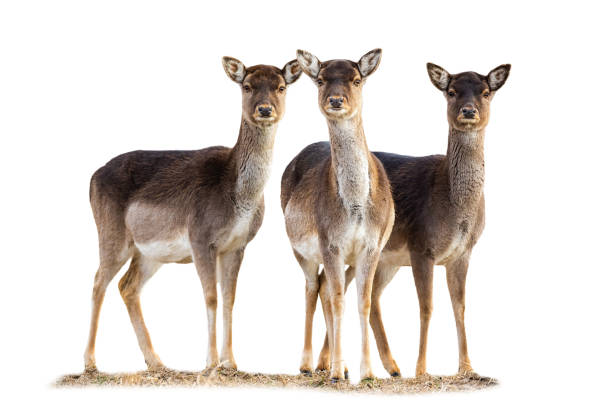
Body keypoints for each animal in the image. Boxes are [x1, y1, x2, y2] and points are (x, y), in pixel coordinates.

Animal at [82, 55, 302, 372]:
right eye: (247, 86)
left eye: (281, 87)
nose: (264, 109)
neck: (239, 197)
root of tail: (92, 177)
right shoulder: (201, 237)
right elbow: (210, 297)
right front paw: (210, 362)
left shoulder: (237, 245)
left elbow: (229, 298)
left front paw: (231, 362)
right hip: (112, 235)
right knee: (98, 282)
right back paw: (90, 362)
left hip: (148, 253)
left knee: (127, 286)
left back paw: (157, 362)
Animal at [280, 49, 394, 380]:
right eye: (320, 79)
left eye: (356, 79)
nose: (335, 100)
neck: (354, 207)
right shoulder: (330, 243)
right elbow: (339, 301)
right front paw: (336, 371)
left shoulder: (370, 247)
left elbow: (362, 302)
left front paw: (366, 372)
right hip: (299, 248)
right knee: (312, 288)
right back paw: (308, 365)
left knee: (324, 289)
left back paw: (331, 365)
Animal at [318, 64, 510, 380]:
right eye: (451, 91)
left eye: (485, 92)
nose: (469, 111)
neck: (456, 210)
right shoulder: (422, 245)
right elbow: (427, 306)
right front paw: (421, 369)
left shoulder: (463, 252)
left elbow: (460, 306)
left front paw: (468, 368)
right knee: (335, 286)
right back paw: (331, 365)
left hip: (386, 258)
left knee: (361, 294)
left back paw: (386, 367)